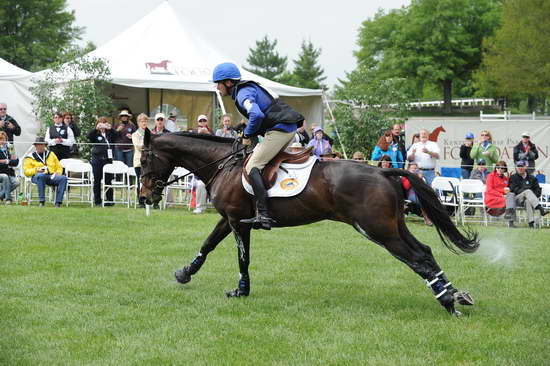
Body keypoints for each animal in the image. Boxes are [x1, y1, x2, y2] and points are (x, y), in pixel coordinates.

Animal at [140, 130, 480, 316]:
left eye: (144, 160)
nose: (145, 197)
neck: (225, 164)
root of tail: (383, 171)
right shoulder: (229, 219)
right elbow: (208, 244)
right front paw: (185, 273)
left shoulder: (239, 222)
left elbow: (242, 258)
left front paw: (241, 290)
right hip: (393, 227)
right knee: (425, 252)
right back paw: (456, 294)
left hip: (377, 230)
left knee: (418, 258)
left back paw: (449, 303)